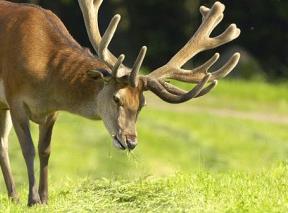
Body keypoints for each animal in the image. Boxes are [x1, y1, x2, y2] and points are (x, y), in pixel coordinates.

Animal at [0, 0, 240, 206]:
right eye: (117, 98)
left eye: (142, 104)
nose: (131, 141)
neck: (46, 73)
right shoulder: (16, 98)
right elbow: (28, 149)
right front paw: (33, 199)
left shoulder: (52, 111)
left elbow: (45, 151)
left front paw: (44, 199)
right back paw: (16, 197)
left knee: (2, 143)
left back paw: (13, 197)